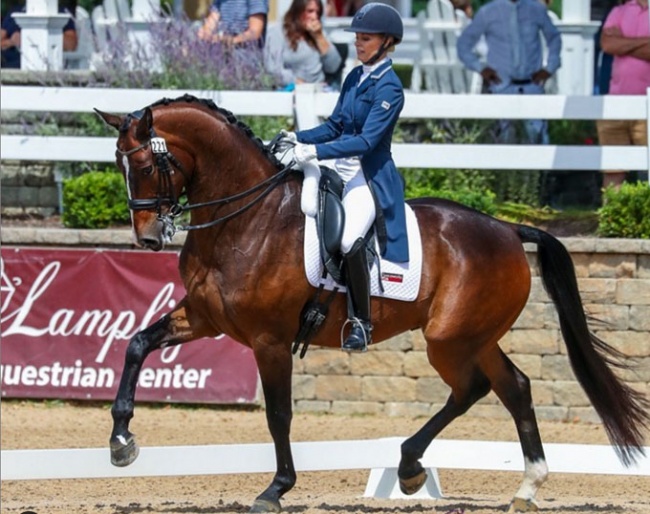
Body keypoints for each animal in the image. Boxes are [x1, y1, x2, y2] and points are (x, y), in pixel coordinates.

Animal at [93, 94, 644, 510]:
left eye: (147, 163)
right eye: (119, 165)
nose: (148, 238)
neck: (247, 219)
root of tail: (509, 229)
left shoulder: (269, 340)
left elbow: (278, 414)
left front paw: (276, 489)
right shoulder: (203, 318)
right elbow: (136, 344)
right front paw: (121, 442)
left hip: (450, 338)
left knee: (475, 387)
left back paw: (415, 466)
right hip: (473, 336)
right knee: (512, 386)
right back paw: (515, 483)